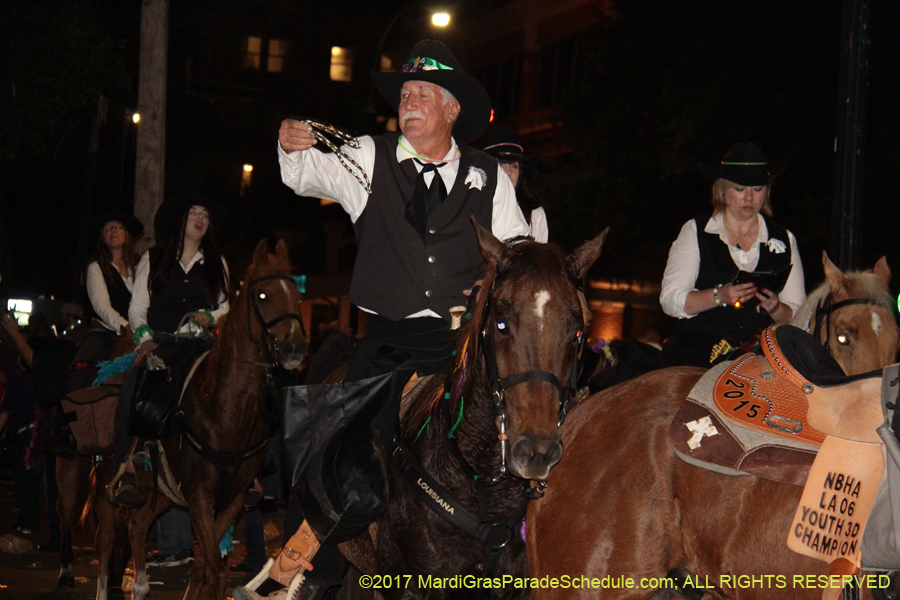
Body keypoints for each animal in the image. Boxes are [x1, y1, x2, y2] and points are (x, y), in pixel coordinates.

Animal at [121, 239, 308, 600]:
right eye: (262, 295)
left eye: (297, 294)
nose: (295, 349)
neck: (226, 411)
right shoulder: (200, 494)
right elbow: (215, 570)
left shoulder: (233, 497)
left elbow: (201, 565)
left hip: (164, 492)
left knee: (137, 526)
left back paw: (139, 585)